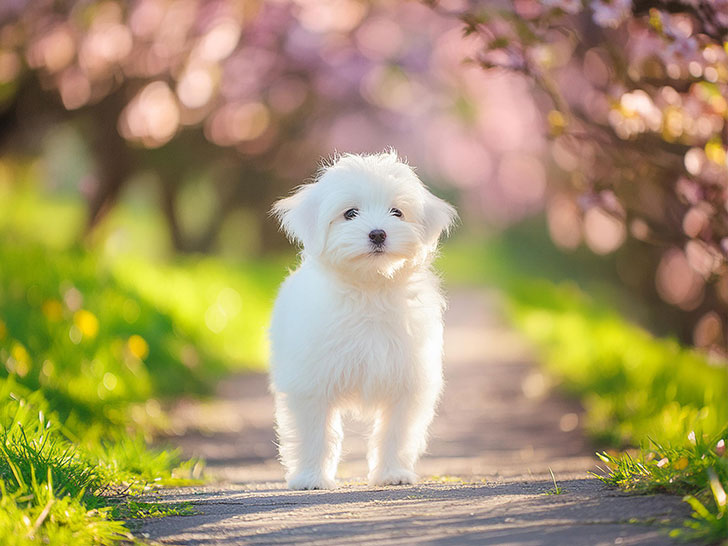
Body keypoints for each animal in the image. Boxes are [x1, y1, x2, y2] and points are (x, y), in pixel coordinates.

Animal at [270, 150, 458, 488]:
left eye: (397, 212)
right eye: (350, 213)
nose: (378, 233)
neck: (370, 290)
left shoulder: (407, 382)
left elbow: (396, 433)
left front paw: (393, 473)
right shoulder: (310, 383)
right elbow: (315, 434)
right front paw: (311, 477)